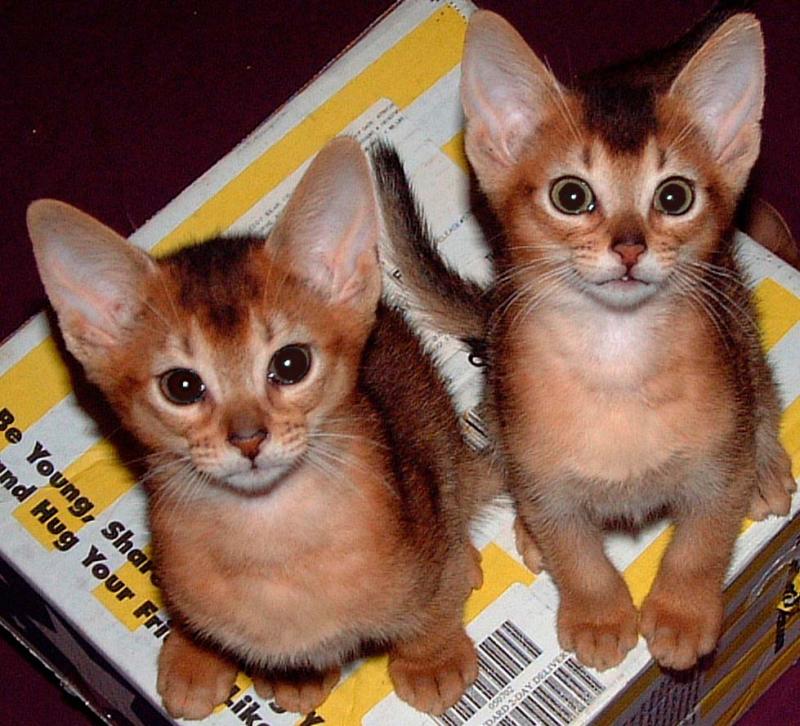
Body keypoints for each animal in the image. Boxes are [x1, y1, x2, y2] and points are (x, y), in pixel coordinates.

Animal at [28, 138, 496, 724]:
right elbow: (195, 615)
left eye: (291, 364)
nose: (248, 438)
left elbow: (429, 605)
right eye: (181, 385)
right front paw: (200, 658)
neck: (269, 541)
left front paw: (432, 660)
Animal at [378, 7, 796, 676]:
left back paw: (766, 465)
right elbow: (576, 554)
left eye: (674, 195)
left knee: (763, 392)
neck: (616, 363)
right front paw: (598, 617)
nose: (629, 246)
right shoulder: (543, 479)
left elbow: (702, 543)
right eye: (571, 195)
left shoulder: (715, 469)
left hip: (740, 333)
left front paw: (681, 615)